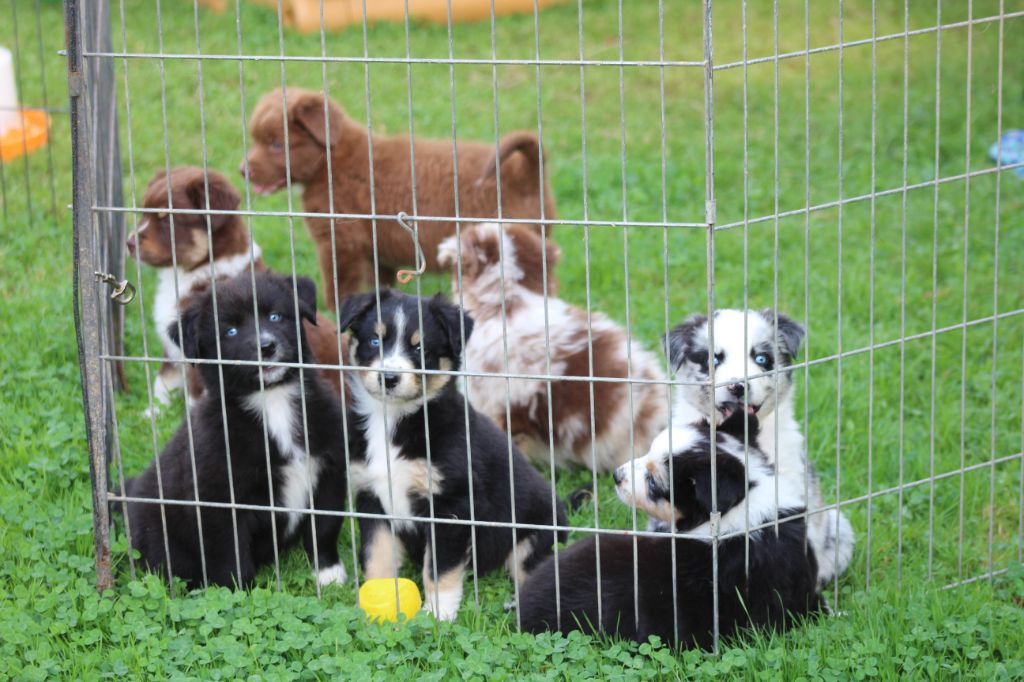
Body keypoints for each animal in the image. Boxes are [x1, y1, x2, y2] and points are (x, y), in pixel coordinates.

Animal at [122, 270, 348, 589]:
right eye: (230, 332)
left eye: (276, 316)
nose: (266, 346)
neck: (272, 401)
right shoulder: (218, 499)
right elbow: (230, 554)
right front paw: (238, 592)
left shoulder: (329, 471)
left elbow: (325, 526)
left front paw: (329, 573)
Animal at [125, 165, 350, 409]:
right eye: (144, 213)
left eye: (167, 220)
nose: (129, 243)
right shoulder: (175, 346)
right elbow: (163, 381)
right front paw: (153, 412)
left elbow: (193, 396)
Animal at [240, 87, 561, 305]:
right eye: (255, 139)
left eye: (276, 144)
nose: (243, 170)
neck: (331, 161)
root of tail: (524, 172)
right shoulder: (377, 255)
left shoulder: (340, 243)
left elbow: (338, 291)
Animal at [342, 288, 569, 618]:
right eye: (375, 341)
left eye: (420, 348)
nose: (389, 378)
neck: (393, 420)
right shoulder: (372, 497)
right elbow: (377, 555)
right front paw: (375, 602)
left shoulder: (452, 504)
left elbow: (439, 569)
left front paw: (439, 614)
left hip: (532, 536)